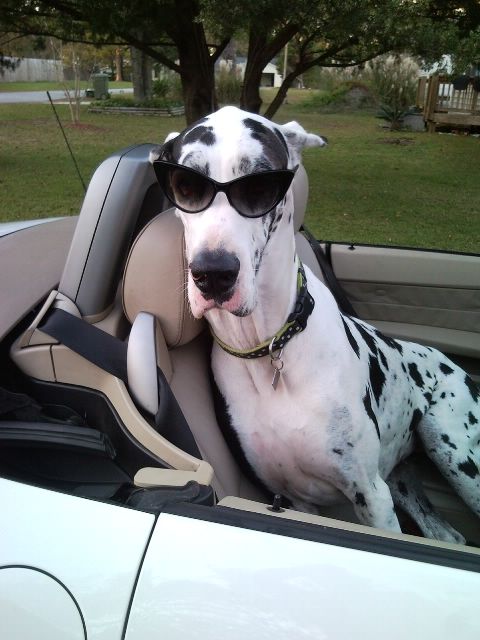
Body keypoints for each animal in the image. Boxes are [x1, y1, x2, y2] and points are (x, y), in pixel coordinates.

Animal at [151, 106, 480, 544]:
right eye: (186, 185)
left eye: (260, 183)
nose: (214, 274)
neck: (271, 348)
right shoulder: (294, 500)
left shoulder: (371, 496)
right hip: (405, 476)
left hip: (455, 452)